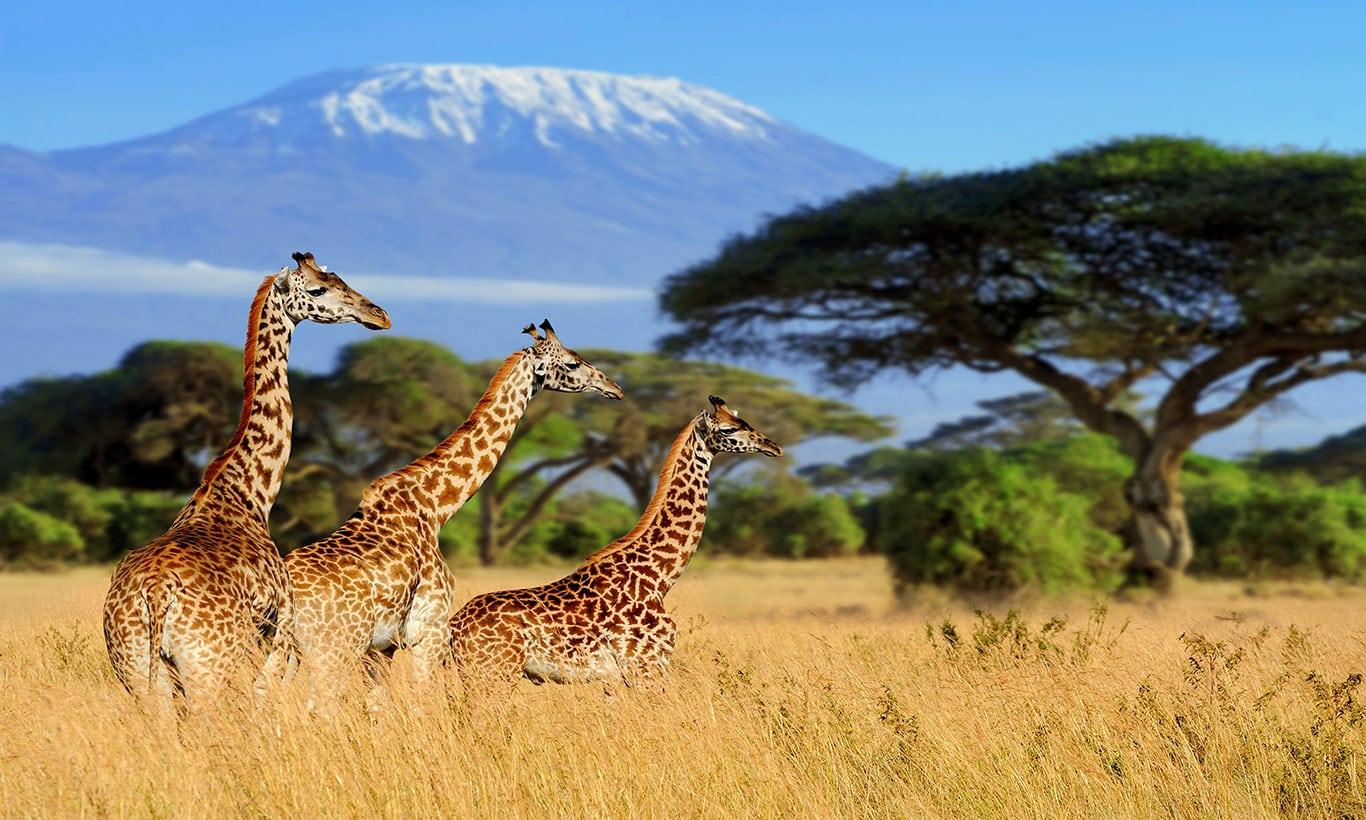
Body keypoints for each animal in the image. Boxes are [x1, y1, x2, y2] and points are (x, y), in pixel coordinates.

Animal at [102, 252, 391, 705]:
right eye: (318, 289)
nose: (379, 315)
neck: (250, 491)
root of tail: (156, 593)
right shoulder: (281, 628)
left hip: (137, 670)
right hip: (207, 667)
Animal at [274, 320, 624, 699]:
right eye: (572, 363)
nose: (615, 387)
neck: (434, 506)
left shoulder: (383, 647)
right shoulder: (429, 631)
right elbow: (422, 699)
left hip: (285, 648)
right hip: (334, 648)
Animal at [448, 395, 781, 686]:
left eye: (743, 420)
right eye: (728, 429)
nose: (773, 446)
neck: (659, 576)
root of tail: (453, 627)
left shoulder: (617, 679)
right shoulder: (647, 667)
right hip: (493, 672)